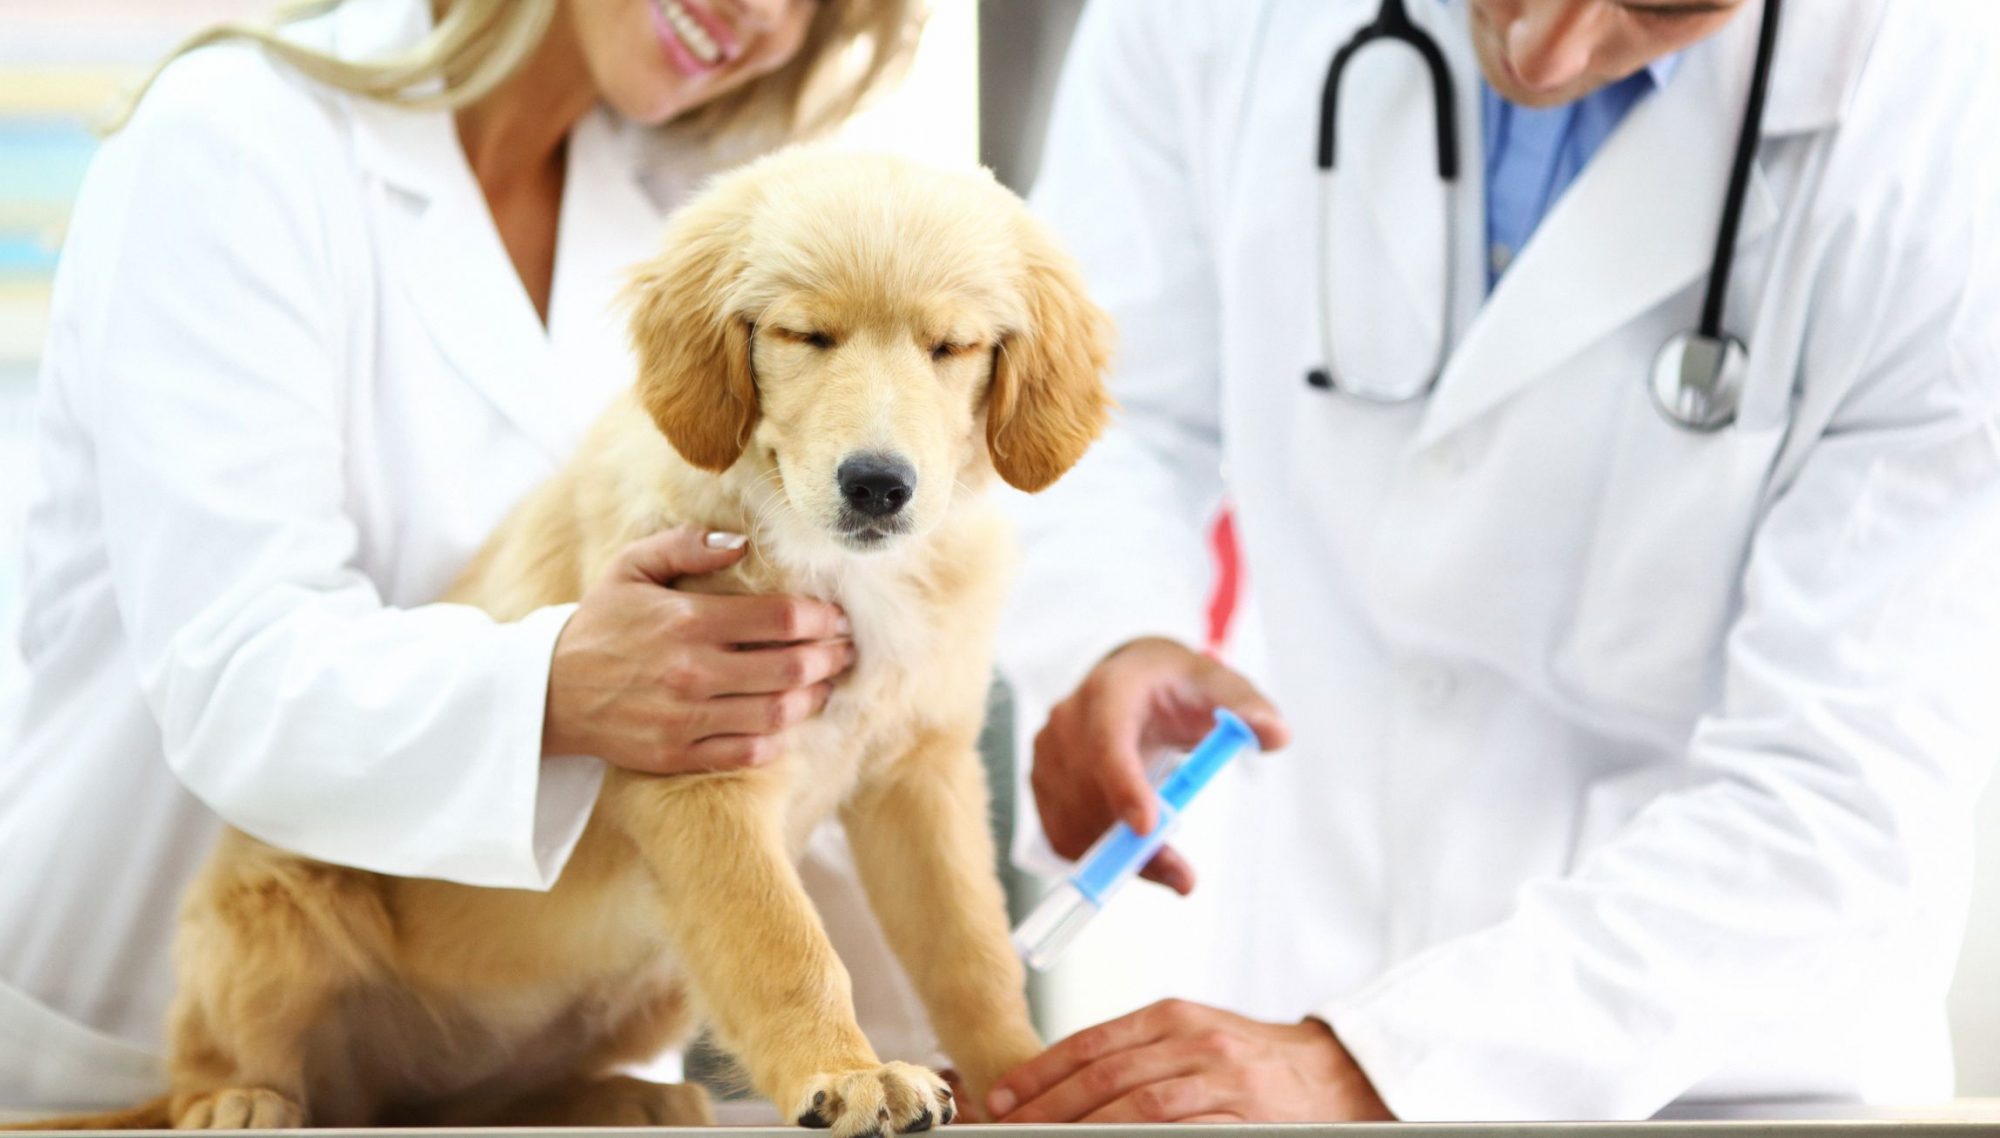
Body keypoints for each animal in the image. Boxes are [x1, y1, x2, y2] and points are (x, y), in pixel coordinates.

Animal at [19, 149, 1112, 1128]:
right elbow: (784, 941)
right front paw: (845, 1073)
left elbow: (967, 943)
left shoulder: (918, 770)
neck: (822, 554)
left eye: (950, 347)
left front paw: (1024, 1075)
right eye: (806, 335)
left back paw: (628, 1096)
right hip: (275, 902)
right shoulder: (700, 775)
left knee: (474, 1101)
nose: (878, 484)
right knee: (229, 1060)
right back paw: (236, 1097)